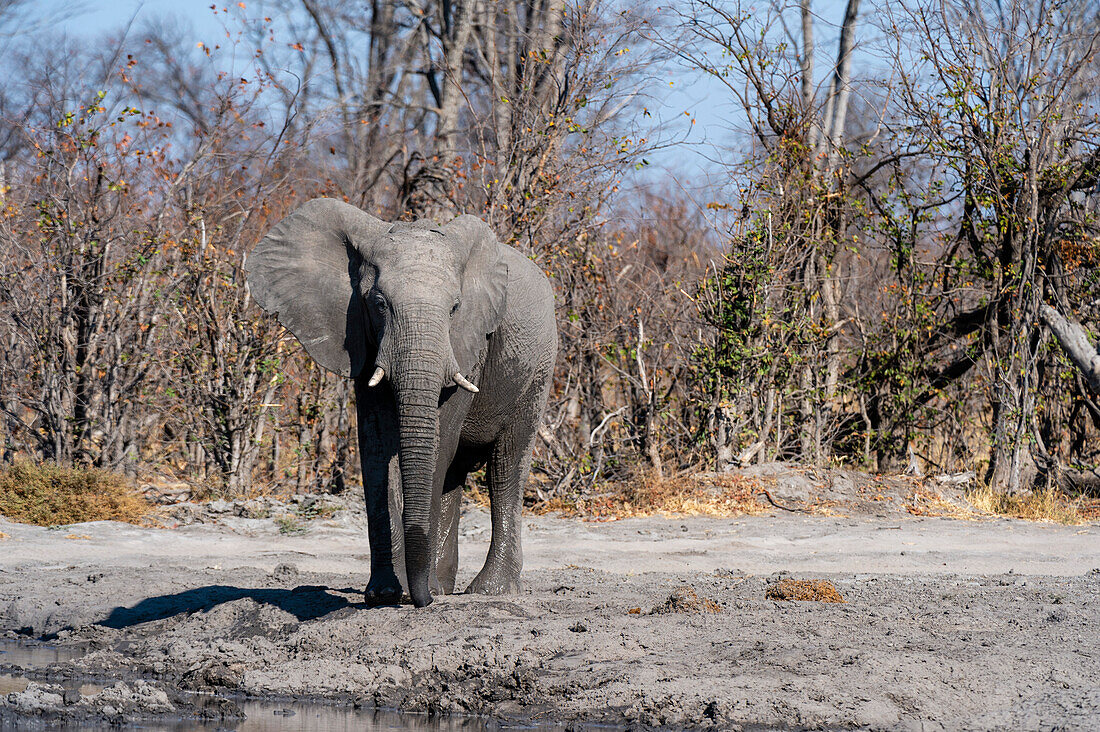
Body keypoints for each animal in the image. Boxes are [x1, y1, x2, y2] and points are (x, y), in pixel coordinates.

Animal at [248, 197, 558, 607]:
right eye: (379, 303)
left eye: (455, 307)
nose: (420, 599)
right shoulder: (360, 336)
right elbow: (376, 446)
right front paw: (383, 594)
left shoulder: (468, 344)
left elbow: (440, 438)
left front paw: (415, 592)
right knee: (457, 471)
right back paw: (444, 586)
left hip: (538, 371)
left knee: (506, 465)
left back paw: (487, 590)